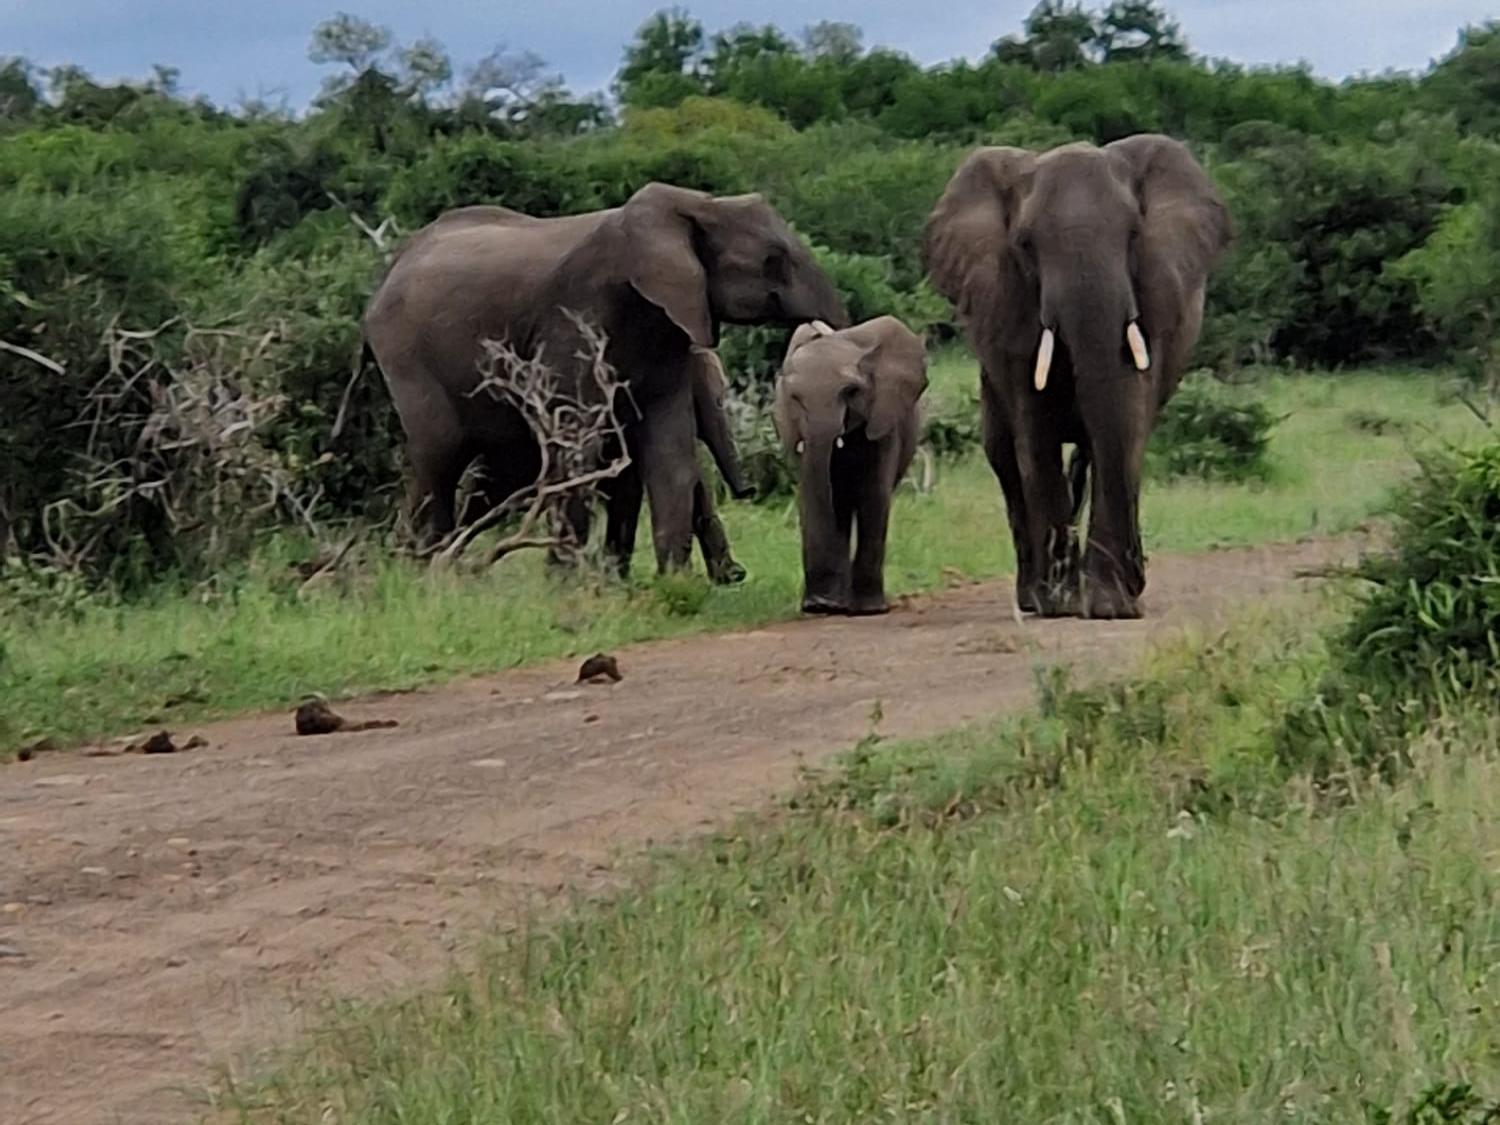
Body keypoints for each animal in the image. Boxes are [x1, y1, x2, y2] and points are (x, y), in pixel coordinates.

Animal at [361, 183, 846, 576]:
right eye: (773, 261)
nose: (748, 491)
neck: (696, 205)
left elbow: (669, 453)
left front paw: (674, 588)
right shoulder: (577, 318)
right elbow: (580, 450)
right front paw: (567, 587)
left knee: (495, 476)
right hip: (407, 357)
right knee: (439, 461)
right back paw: (423, 574)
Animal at [774, 315, 924, 618]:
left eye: (850, 391)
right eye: (794, 397)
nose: (819, 604)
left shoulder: (883, 419)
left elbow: (873, 495)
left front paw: (869, 610)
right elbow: (813, 495)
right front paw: (821, 606)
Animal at [924, 138, 1230, 627]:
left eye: (1134, 236)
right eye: (1025, 245)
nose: (1135, 582)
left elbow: (1126, 421)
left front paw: (1110, 608)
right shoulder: (1009, 304)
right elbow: (1036, 434)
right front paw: (1064, 605)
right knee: (1004, 454)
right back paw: (1034, 598)